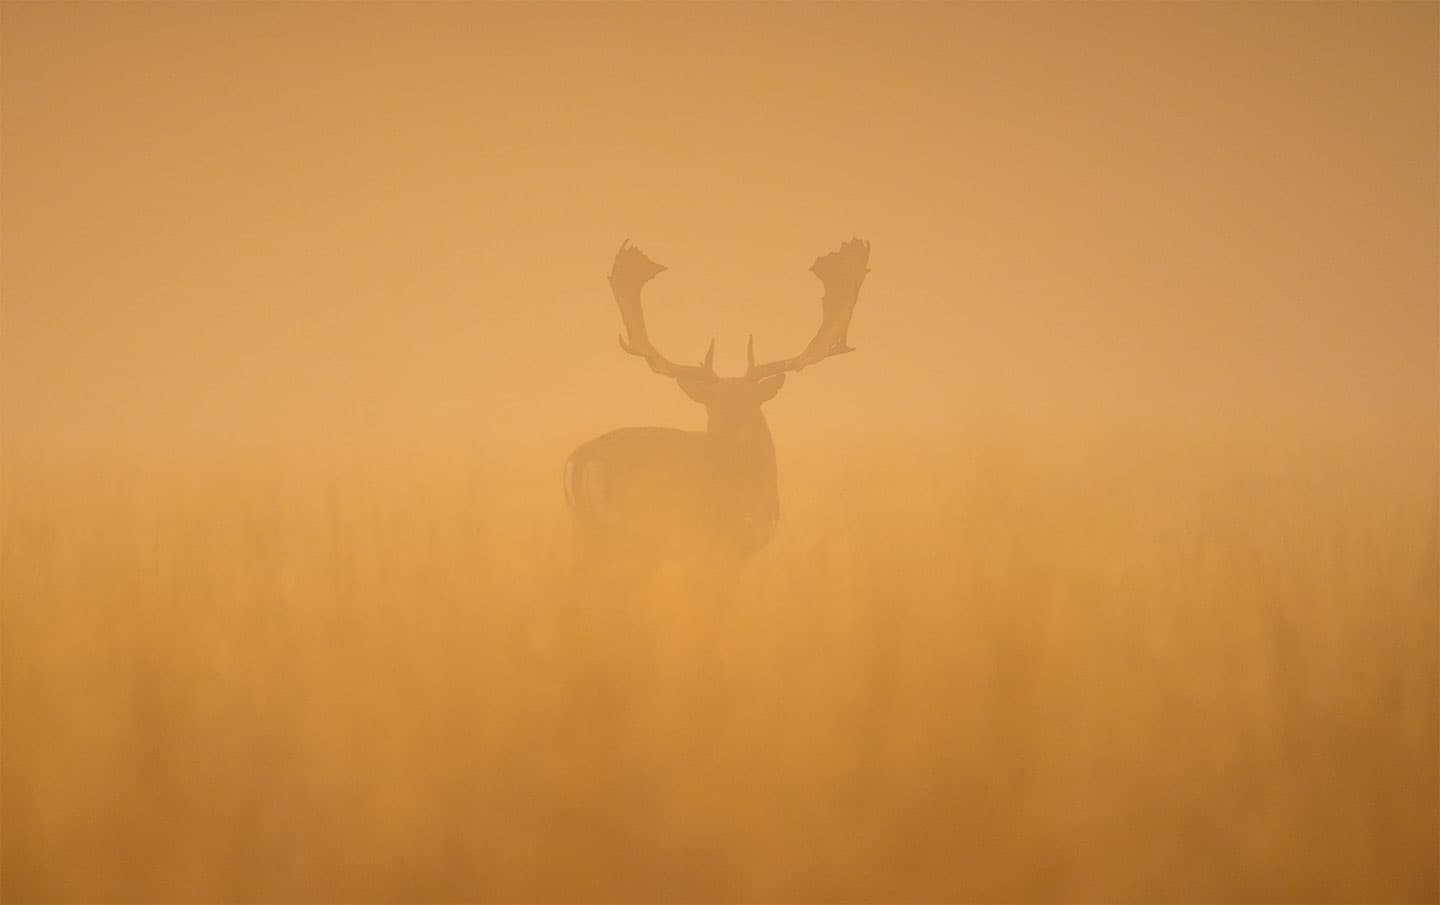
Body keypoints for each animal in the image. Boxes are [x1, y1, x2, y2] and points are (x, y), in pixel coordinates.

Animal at [564, 238, 871, 571]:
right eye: (713, 406)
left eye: (749, 402)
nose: (730, 439)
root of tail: (582, 461)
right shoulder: (728, 545)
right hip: (638, 530)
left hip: (585, 531)